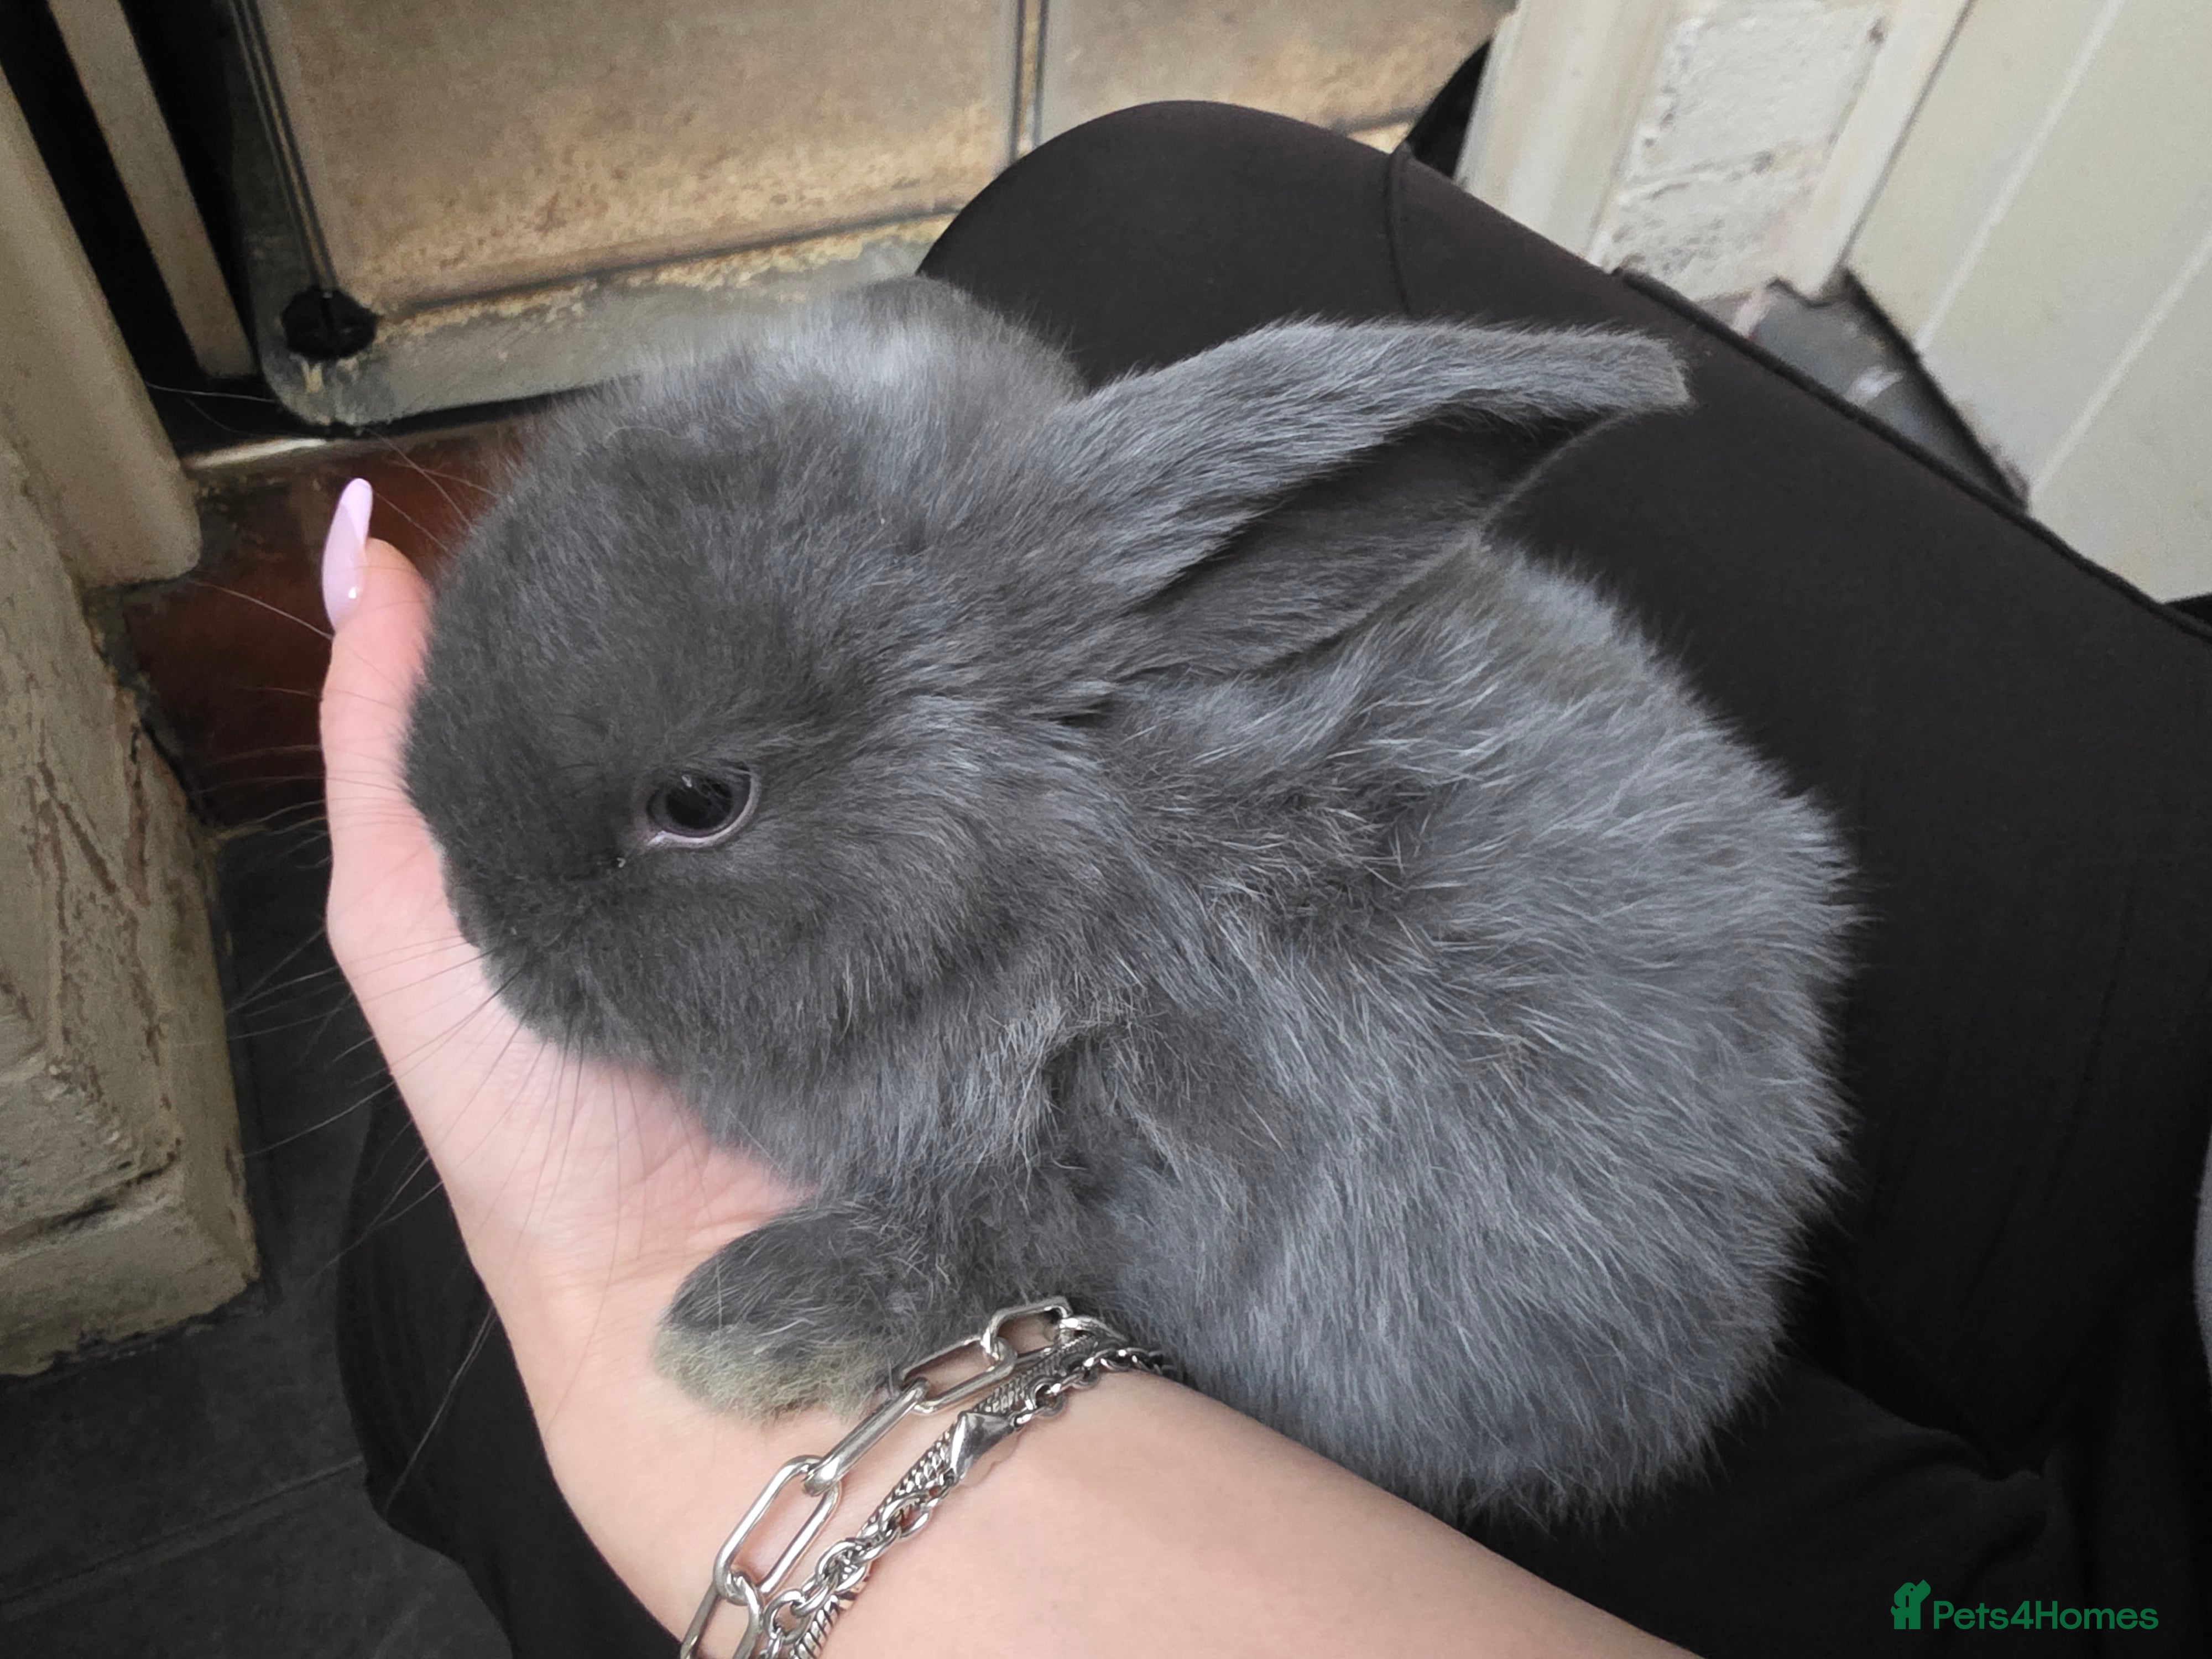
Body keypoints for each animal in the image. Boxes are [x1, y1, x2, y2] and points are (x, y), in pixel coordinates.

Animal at [403, 275, 1853, 1521]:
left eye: (700, 800)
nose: (473, 924)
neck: (1050, 849)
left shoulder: (1136, 1155)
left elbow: (982, 1239)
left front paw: (734, 1332)